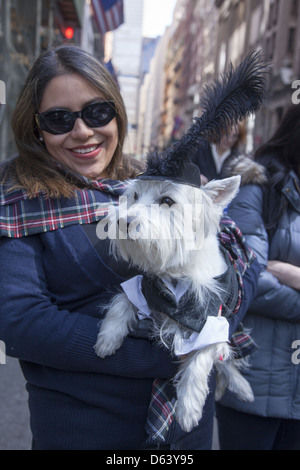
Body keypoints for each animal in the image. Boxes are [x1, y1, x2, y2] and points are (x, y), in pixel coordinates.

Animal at [94, 52, 268, 434]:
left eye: (167, 201)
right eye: (134, 196)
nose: (123, 221)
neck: (177, 272)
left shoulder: (214, 322)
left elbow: (202, 359)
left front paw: (188, 410)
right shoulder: (142, 286)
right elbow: (121, 301)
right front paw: (107, 339)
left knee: (228, 359)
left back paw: (243, 388)